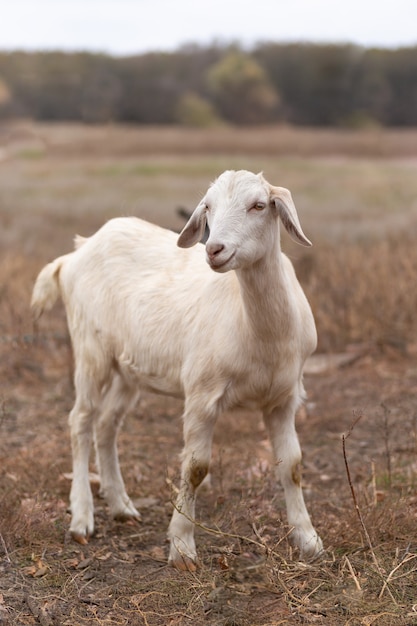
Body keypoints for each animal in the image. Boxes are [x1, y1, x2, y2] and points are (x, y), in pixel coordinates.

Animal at [30, 169, 322, 564]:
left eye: (259, 205)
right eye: (208, 207)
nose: (214, 250)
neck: (260, 332)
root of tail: (75, 253)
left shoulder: (284, 397)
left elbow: (292, 464)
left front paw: (308, 539)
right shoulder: (201, 393)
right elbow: (196, 468)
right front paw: (182, 546)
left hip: (129, 368)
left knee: (107, 424)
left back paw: (121, 505)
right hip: (90, 349)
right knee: (80, 421)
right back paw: (82, 518)